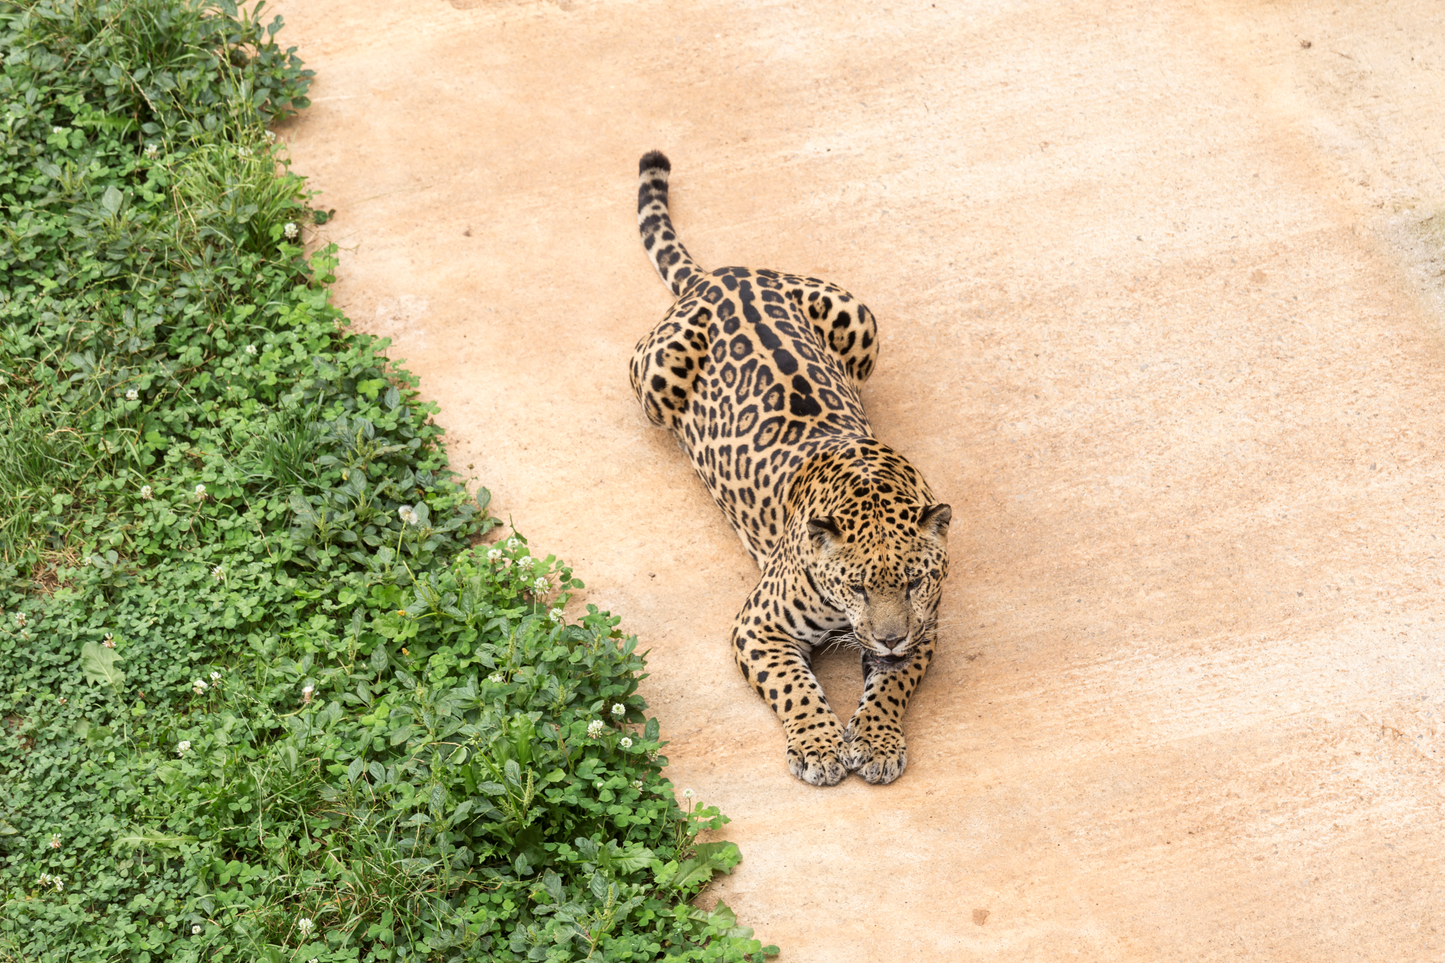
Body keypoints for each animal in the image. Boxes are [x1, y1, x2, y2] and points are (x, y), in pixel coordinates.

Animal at [629, 151, 952, 786]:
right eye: (857, 585)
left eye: (913, 581)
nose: (889, 637)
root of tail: (720, 275)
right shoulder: (759, 627)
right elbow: (795, 687)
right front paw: (821, 747)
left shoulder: (924, 628)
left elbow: (891, 686)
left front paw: (875, 743)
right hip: (652, 380)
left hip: (861, 319)